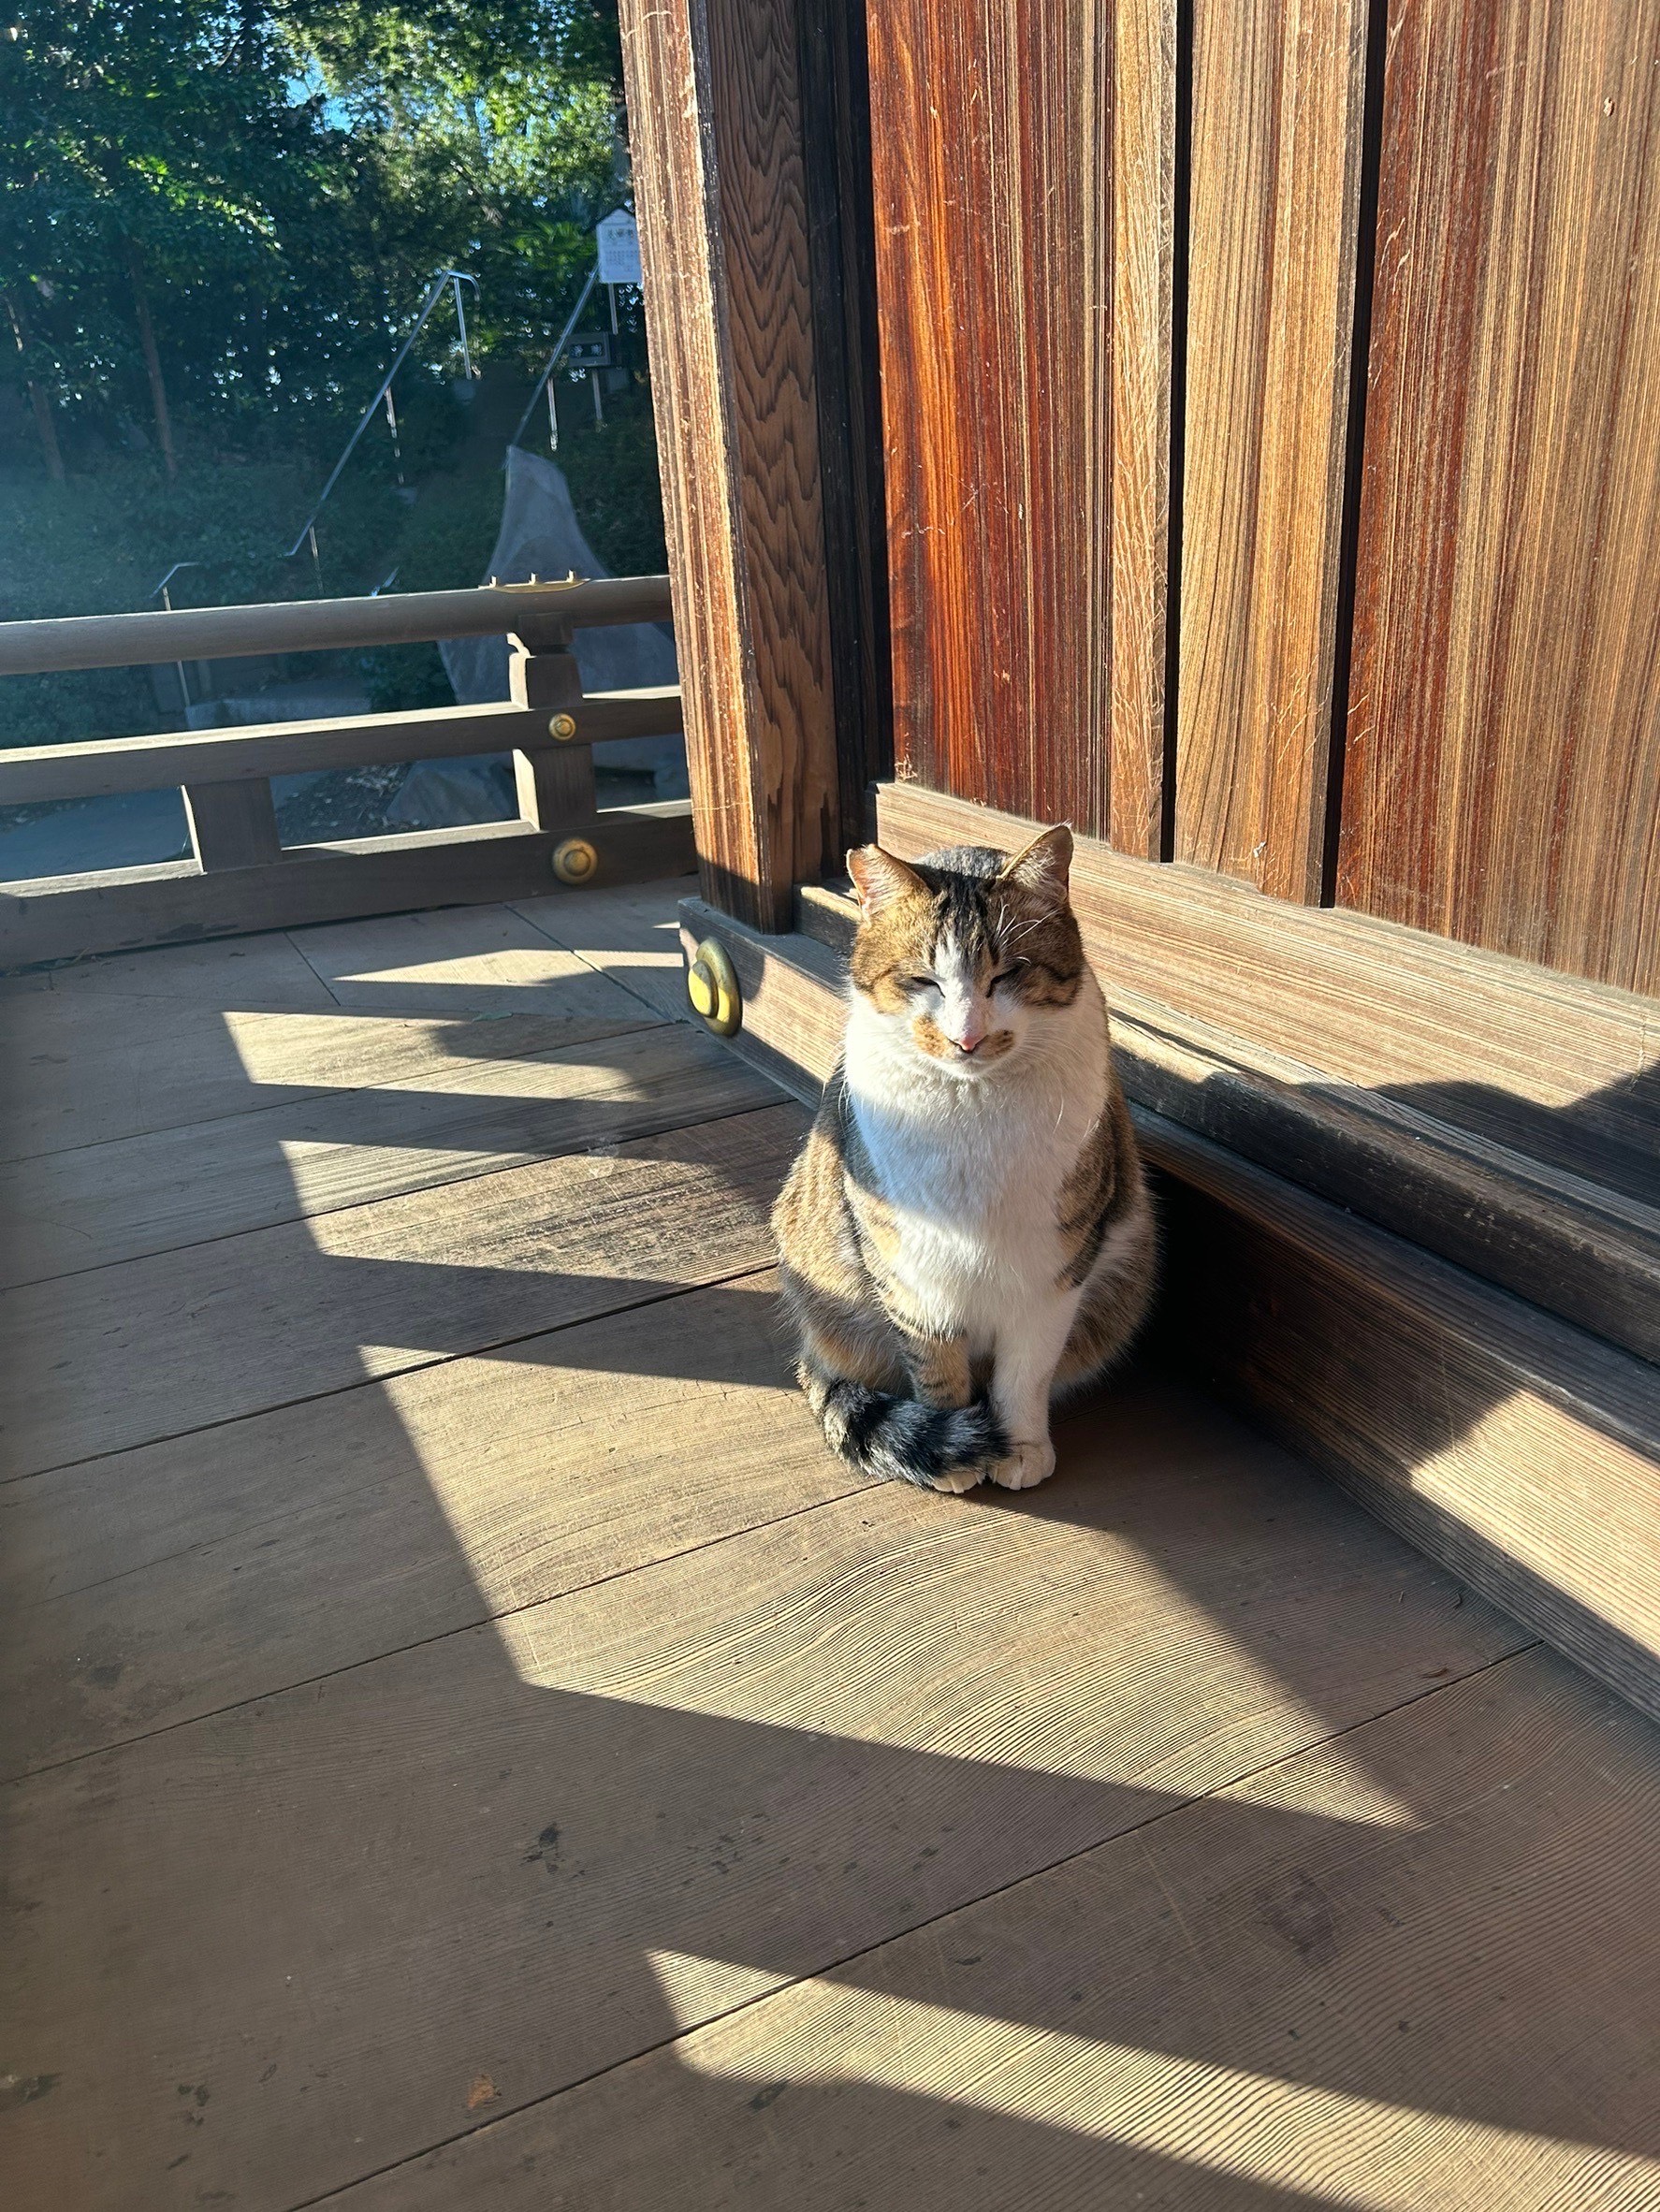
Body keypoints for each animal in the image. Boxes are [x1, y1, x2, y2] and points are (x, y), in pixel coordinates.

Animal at [779, 822, 1159, 1495]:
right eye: (922, 981)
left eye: (1009, 974)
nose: (967, 1037)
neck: (971, 1105)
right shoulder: (903, 1263)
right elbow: (933, 1360)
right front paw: (954, 1446)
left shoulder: (1056, 1263)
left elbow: (1026, 1369)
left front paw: (1020, 1444)